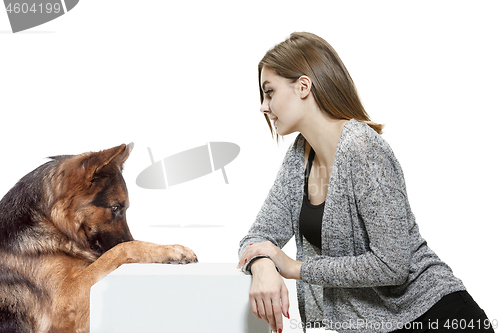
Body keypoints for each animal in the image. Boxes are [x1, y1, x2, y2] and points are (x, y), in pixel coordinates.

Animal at [0, 143, 198, 332]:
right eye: (115, 207)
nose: (126, 238)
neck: (50, 223)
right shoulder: (65, 300)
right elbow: (121, 249)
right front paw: (170, 249)